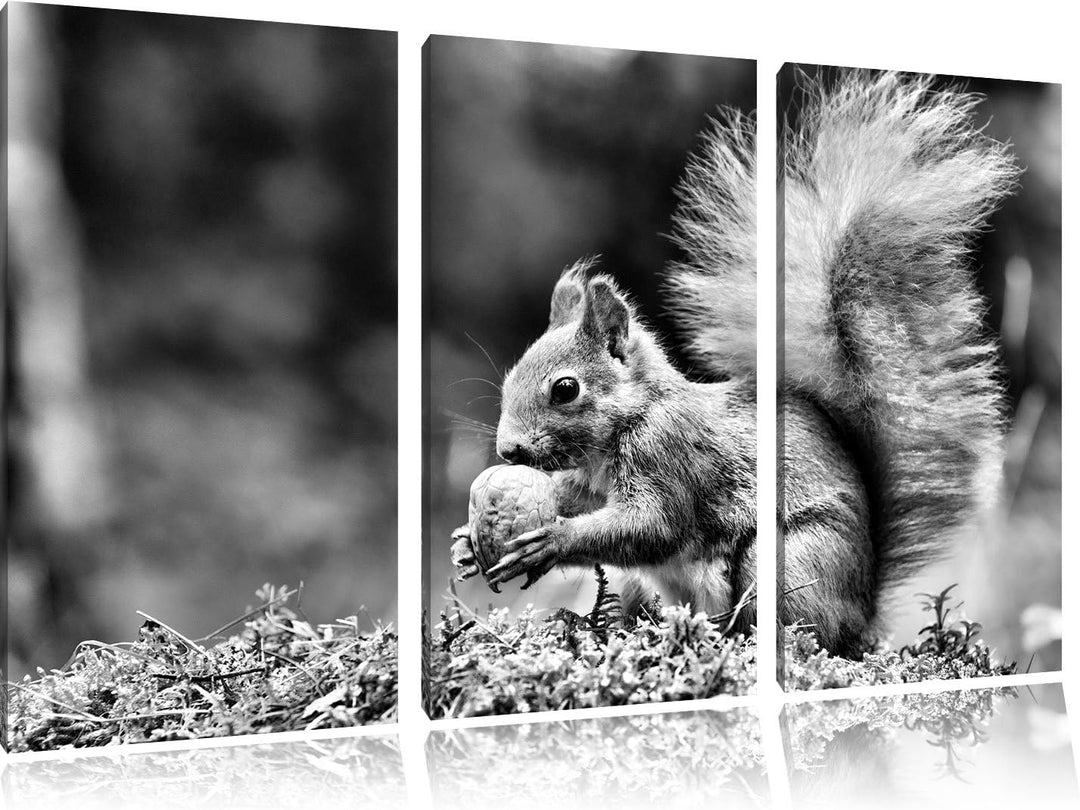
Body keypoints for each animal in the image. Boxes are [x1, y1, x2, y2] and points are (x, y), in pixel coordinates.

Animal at [450, 70, 1018, 657]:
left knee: (795, 628)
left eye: (565, 389)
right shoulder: (588, 482)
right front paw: (467, 542)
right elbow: (573, 499)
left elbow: (650, 528)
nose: (508, 450)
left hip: (786, 564)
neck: (632, 419)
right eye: (511, 376)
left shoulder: (669, 457)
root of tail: (862, 615)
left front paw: (552, 542)